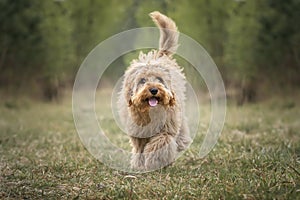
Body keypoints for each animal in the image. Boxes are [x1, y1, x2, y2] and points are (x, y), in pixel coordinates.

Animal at [118, 10, 191, 170]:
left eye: (159, 79)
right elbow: (139, 148)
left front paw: (154, 161)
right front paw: (139, 165)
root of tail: (160, 55)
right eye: (142, 80)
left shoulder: (167, 127)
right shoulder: (138, 132)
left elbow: (160, 142)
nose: (153, 90)